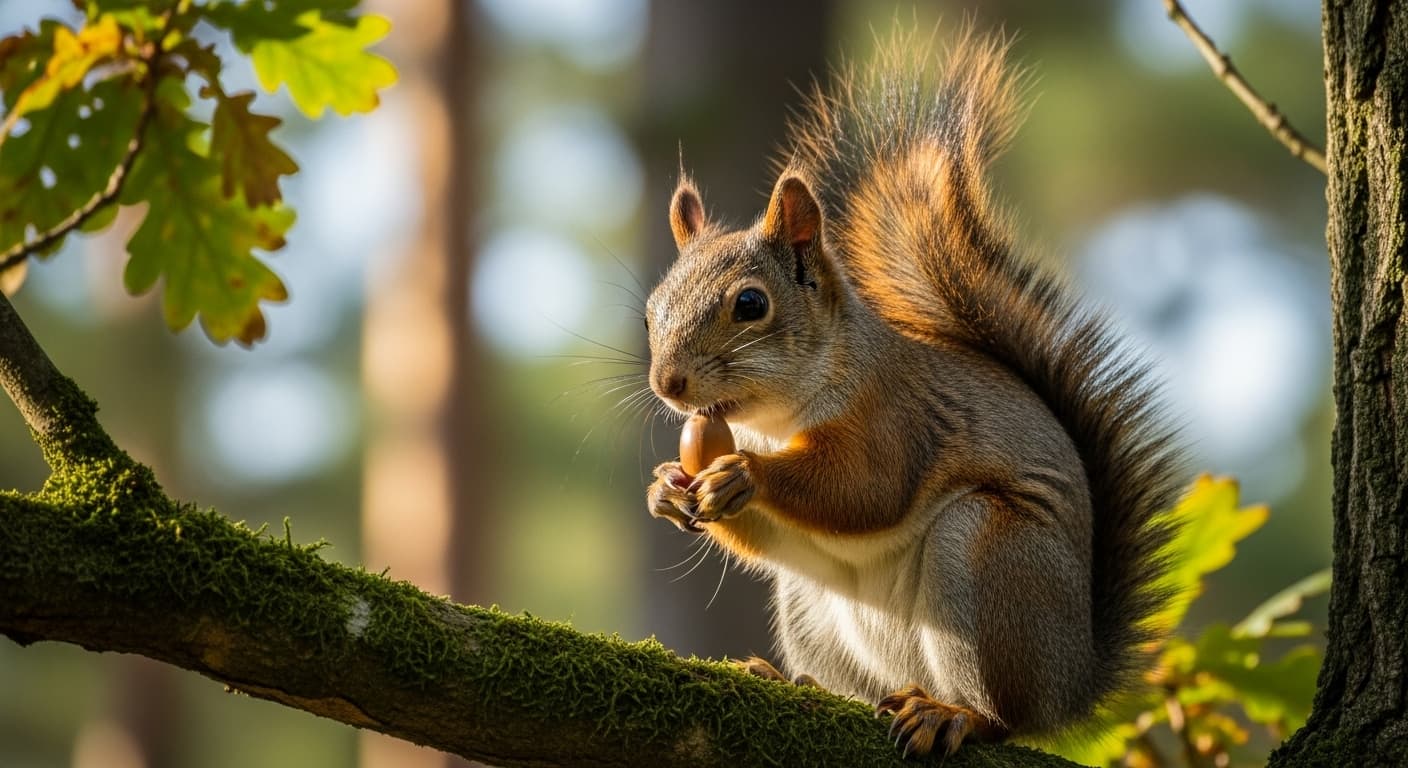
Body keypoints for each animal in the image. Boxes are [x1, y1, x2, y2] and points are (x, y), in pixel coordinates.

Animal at [643, 28, 1182, 758]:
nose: (666, 383)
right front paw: (667, 487)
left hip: (987, 556)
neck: (777, 418)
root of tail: (1073, 683)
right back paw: (796, 681)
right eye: (651, 311)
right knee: (856, 684)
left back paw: (953, 714)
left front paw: (743, 474)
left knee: (1004, 715)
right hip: (810, 603)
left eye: (750, 304)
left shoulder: (897, 417)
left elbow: (866, 487)